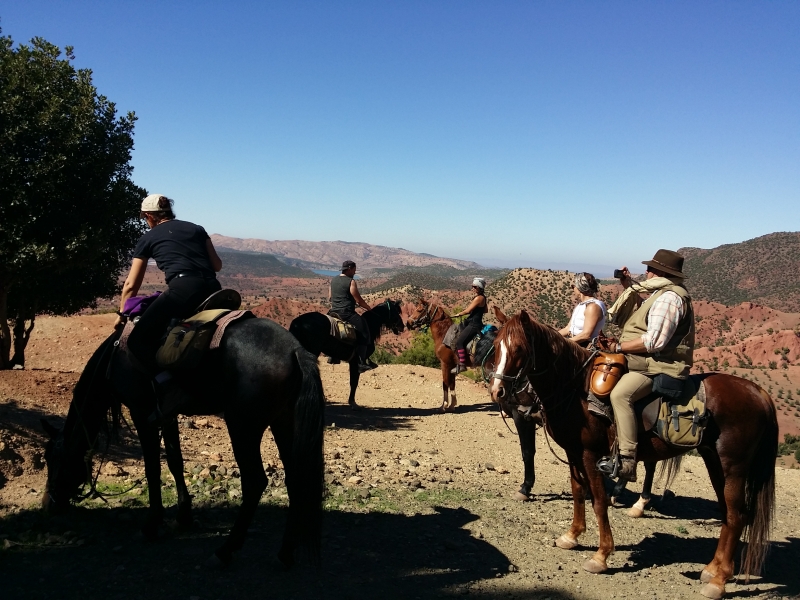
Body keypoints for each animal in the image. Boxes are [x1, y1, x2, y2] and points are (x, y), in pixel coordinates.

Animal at [41, 318, 324, 568]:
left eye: (52, 459)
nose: (49, 505)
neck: (114, 358)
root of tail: (295, 350)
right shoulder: (166, 415)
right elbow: (175, 461)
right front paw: (183, 516)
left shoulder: (141, 413)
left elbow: (153, 469)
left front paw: (151, 526)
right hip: (283, 422)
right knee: (295, 478)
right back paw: (284, 554)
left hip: (243, 426)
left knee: (255, 482)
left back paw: (224, 552)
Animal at [488, 312, 776, 596]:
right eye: (496, 346)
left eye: (519, 348)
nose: (497, 391)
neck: (574, 388)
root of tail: (759, 392)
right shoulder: (573, 452)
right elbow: (578, 493)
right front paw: (571, 536)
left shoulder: (590, 455)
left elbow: (599, 501)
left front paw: (601, 555)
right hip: (714, 463)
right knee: (728, 513)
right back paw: (711, 569)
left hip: (733, 467)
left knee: (737, 516)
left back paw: (718, 582)